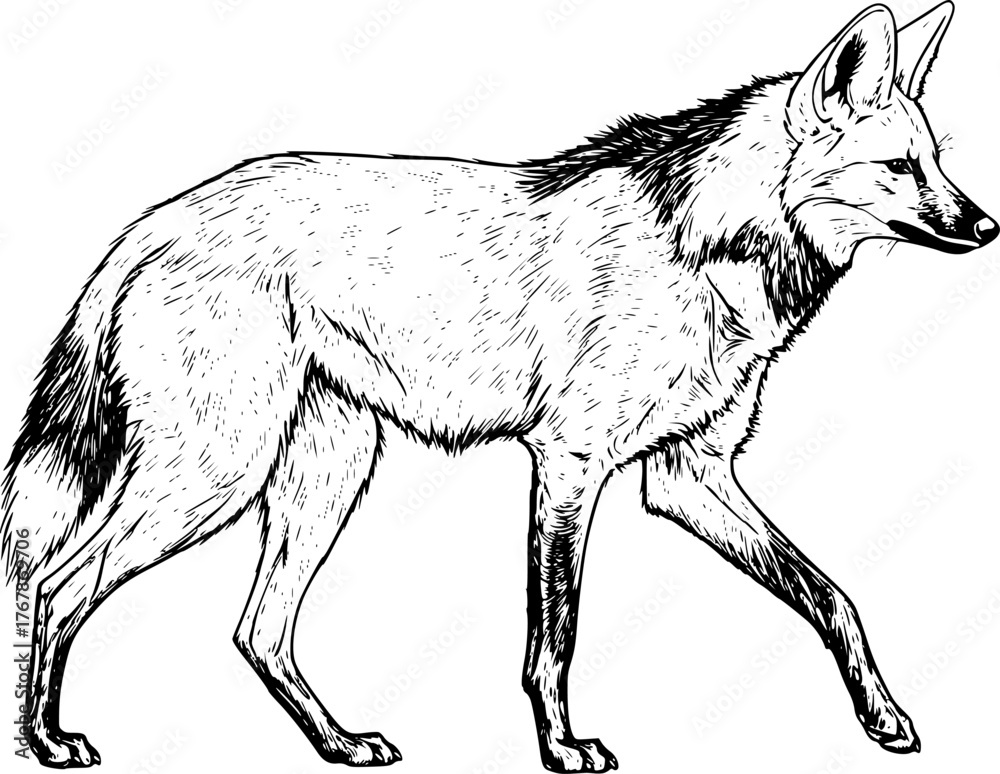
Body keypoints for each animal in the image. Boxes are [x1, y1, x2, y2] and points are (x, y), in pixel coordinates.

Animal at [1, 2, 994, 770]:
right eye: (901, 168)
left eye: (941, 161)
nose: (984, 225)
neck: (710, 250)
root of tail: (156, 217)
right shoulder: (570, 466)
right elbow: (554, 640)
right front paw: (562, 749)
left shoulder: (688, 477)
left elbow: (835, 598)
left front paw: (884, 718)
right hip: (215, 475)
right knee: (57, 582)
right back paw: (47, 741)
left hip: (321, 478)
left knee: (257, 631)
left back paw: (339, 744)